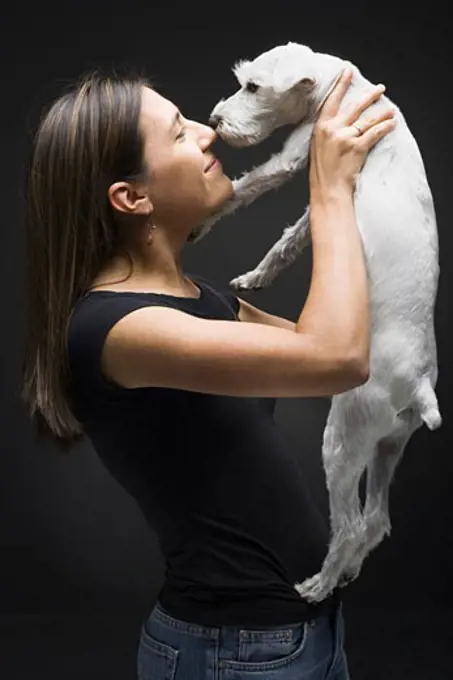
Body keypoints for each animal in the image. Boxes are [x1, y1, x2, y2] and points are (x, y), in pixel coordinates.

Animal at [192, 42, 442, 604]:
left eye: (254, 86)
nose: (215, 121)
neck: (341, 84)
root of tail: (419, 384)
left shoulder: (297, 154)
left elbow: (243, 188)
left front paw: (197, 223)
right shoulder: (323, 193)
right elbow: (289, 239)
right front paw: (256, 276)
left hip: (344, 439)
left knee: (348, 525)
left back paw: (316, 587)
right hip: (389, 445)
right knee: (375, 521)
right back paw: (343, 573)